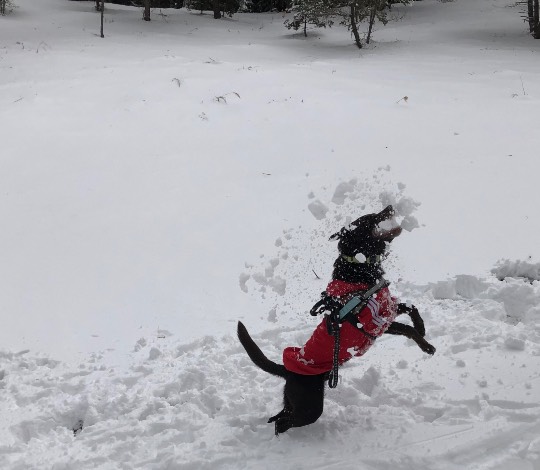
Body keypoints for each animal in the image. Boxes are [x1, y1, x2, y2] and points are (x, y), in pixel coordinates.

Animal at [238, 204, 436, 436]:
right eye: (369, 218)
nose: (389, 206)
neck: (358, 267)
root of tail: (287, 371)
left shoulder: (387, 308)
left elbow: (411, 308)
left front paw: (422, 327)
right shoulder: (373, 322)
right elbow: (407, 328)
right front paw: (427, 347)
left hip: (295, 401)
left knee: (281, 415)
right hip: (311, 406)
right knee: (284, 422)